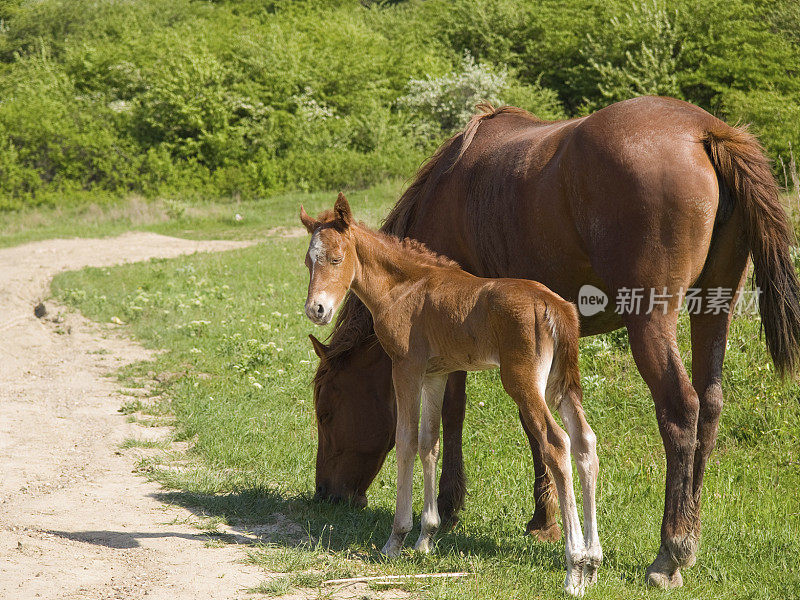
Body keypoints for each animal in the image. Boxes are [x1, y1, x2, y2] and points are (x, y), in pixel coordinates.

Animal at [304, 196, 604, 596]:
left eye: (336, 259)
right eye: (308, 261)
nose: (316, 310)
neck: (404, 288)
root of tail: (556, 307)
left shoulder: (406, 368)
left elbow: (406, 440)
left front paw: (396, 539)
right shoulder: (437, 374)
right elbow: (430, 441)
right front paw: (426, 538)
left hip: (524, 383)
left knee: (557, 443)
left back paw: (574, 569)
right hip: (560, 385)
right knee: (585, 441)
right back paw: (593, 564)